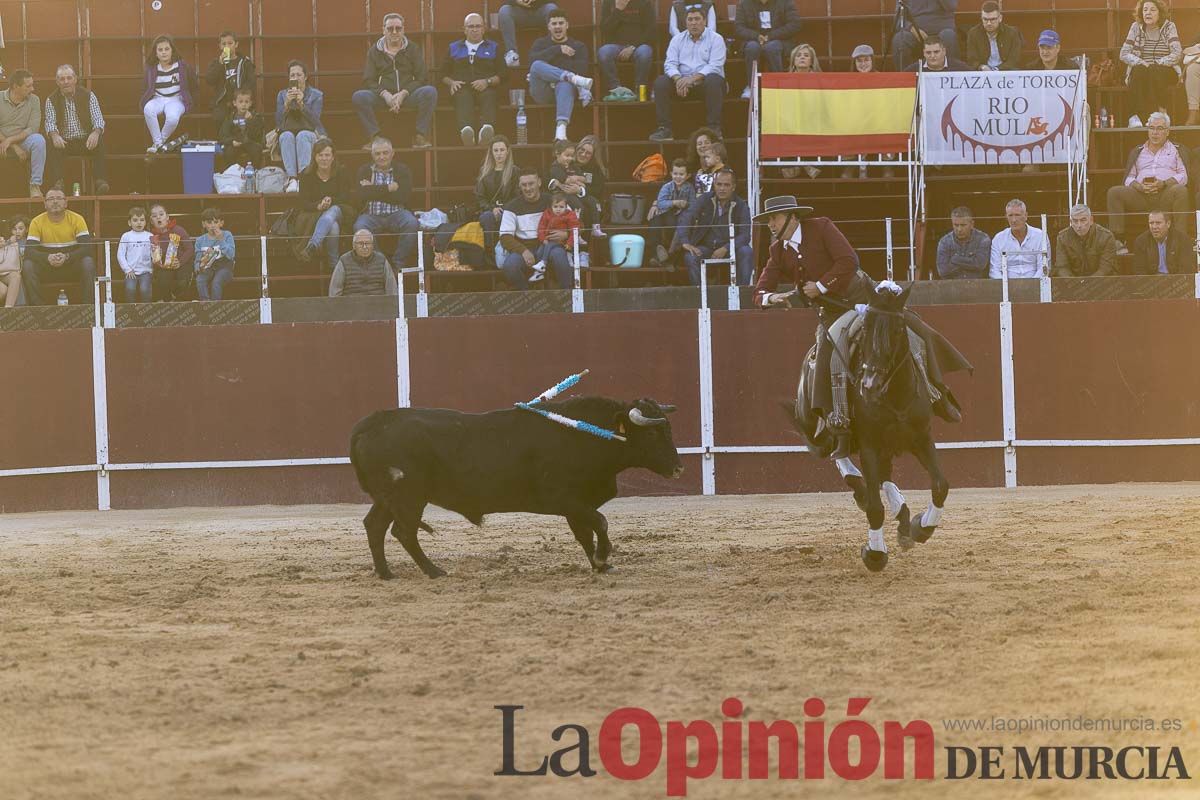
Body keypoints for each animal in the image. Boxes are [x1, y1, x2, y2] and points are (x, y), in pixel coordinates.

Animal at [350, 398, 686, 578]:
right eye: (653, 434)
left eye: (669, 429)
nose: (678, 468)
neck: (585, 437)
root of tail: (374, 422)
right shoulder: (563, 499)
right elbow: (600, 523)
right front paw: (603, 559)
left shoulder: (576, 504)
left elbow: (585, 533)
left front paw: (600, 565)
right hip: (409, 496)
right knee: (403, 532)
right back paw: (435, 571)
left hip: (390, 498)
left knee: (375, 526)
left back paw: (386, 573)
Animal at [792, 284, 950, 573]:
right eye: (865, 328)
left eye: (898, 329)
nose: (869, 384)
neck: (894, 394)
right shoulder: (869, 445)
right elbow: (876, 509)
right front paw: (875, 554)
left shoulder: (922, 437)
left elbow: (940, 485)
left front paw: (921, 527)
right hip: (813, 423)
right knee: (837, 452)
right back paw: (860, 487)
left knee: (884, 475)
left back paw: (901, 515)